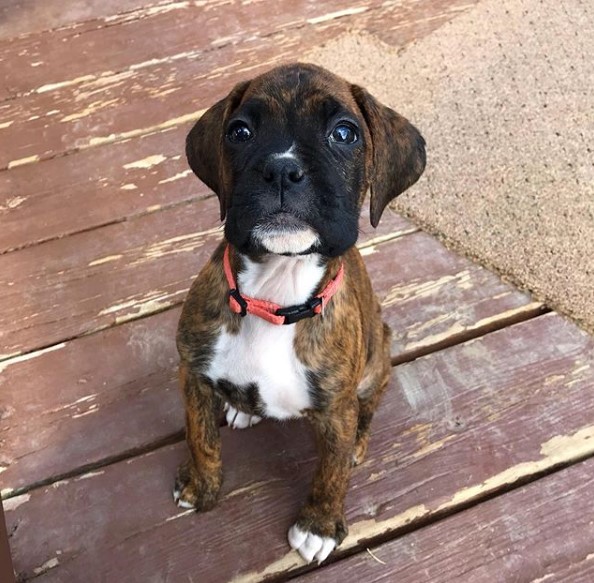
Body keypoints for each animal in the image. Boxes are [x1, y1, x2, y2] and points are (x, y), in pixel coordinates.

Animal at [173, 61, 424, 564]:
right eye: (239, 132)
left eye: (345, 134)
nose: (282, 169)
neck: (275, 296)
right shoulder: (193, 374)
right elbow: (200, 437)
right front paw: (201, 486)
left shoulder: (336, 408)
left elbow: (330, 472)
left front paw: (319, 524)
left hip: (377, 359)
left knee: (369, 407)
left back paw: (356, 444)